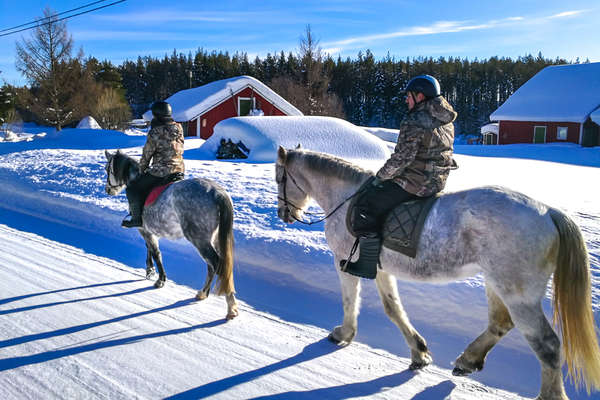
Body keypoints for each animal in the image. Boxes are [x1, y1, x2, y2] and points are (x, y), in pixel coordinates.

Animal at [106, 148, 238, 320]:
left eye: (108, 169)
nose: (108, 190)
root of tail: (218, 194)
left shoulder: (144, 229)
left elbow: (156, 253)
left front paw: (160, 279)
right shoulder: (149, 230)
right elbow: (150, 250)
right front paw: (150, 270)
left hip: (199, 239)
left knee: (215, 264)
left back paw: (223, 304)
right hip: (214, 238)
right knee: (217, 266)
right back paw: (210, 296)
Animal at [276, 147, 600, 400]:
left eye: (280, 178)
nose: (284, 214)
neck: (346, 197)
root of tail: (549, 212)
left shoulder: (345, 262)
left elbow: (349, 301)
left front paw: (343, 333)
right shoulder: (380, 269)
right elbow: (393, 309)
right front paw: (419, 353)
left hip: (519, 295)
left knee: (547, 345)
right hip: (497, 284)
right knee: (500, 323)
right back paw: (468, 360)